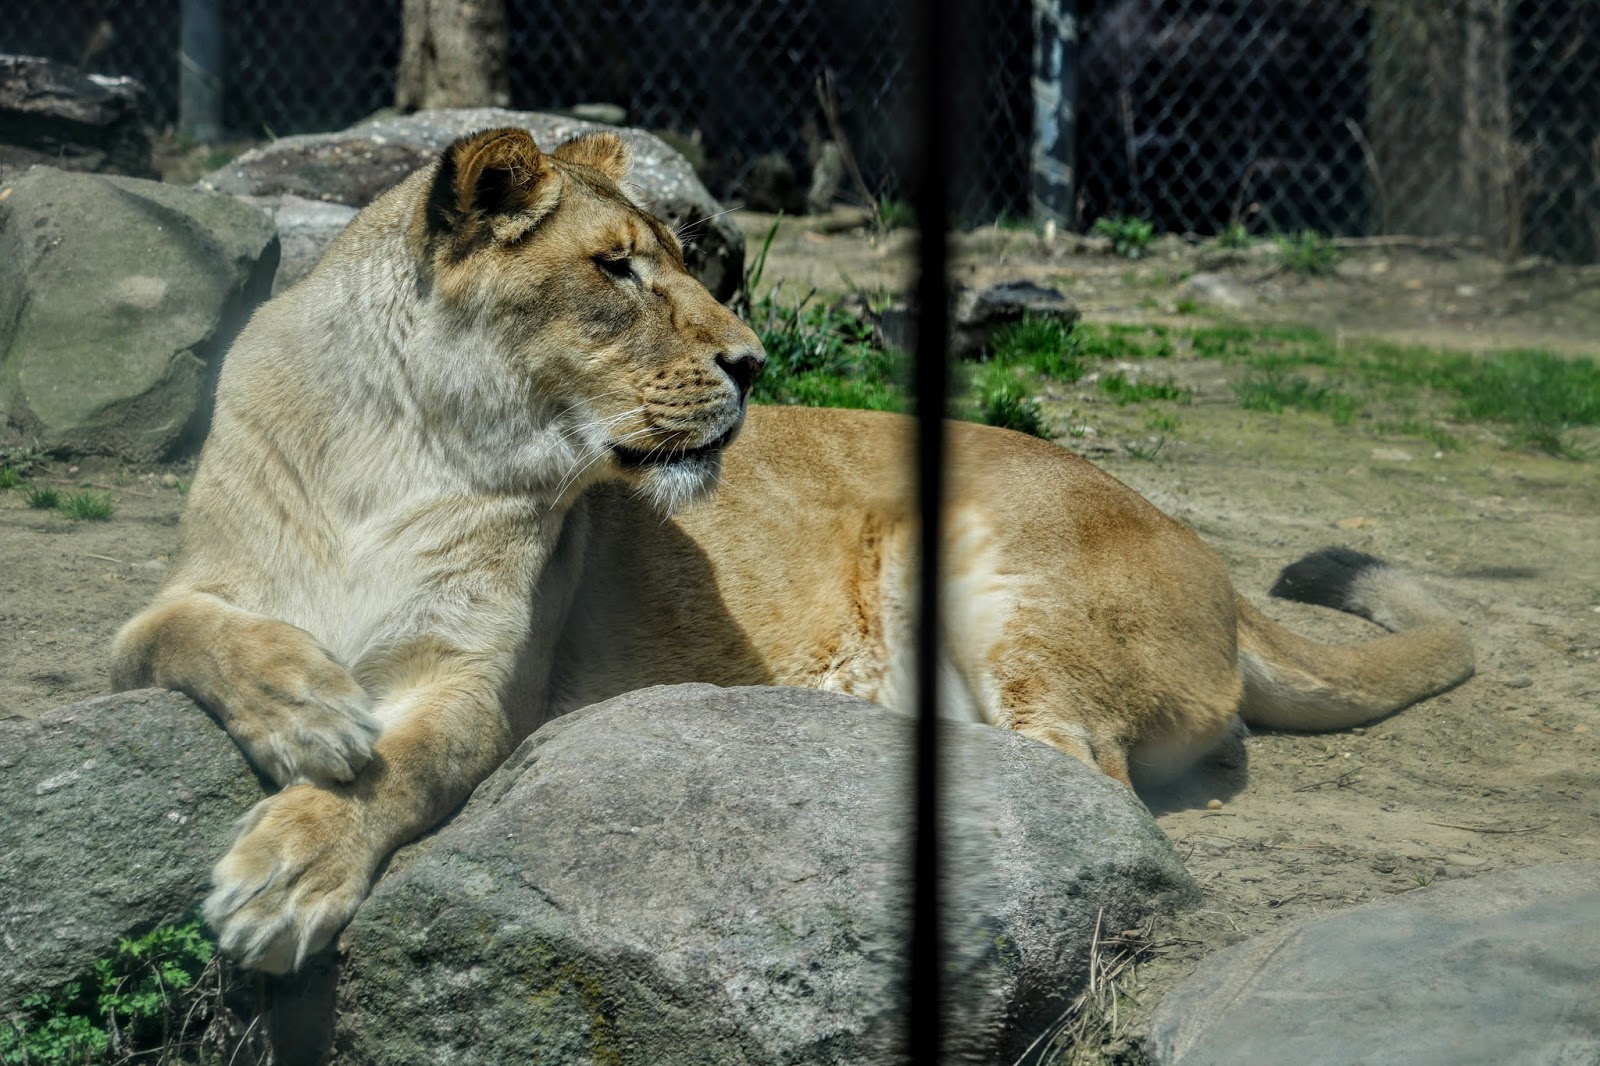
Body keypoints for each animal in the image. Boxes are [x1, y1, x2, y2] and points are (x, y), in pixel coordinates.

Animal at [112, 127, 1474, 974]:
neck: (402, 445)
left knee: (1084, 777)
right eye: (616, 271)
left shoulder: (483, 677)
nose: (754, 361)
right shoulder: (171, 603)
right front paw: (307, 705)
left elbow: (395, 769)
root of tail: (1218, 569)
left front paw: (288, 872)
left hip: (962, 553)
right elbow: (191, 630)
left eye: (681, 263)